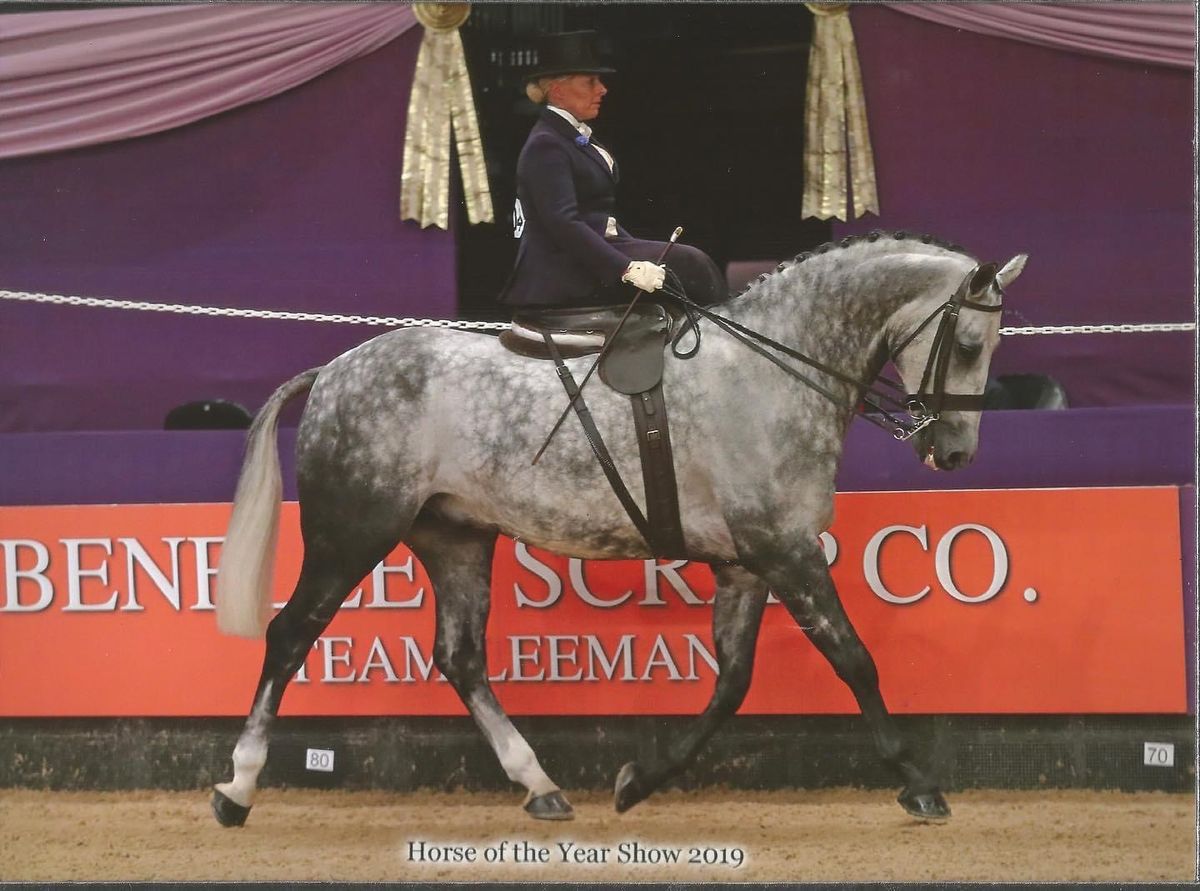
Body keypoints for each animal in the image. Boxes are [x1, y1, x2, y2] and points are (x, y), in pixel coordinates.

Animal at [211, 231, 1027, 830]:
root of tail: (333, 371)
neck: (772, 370)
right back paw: (236, 790)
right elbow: (854, 660)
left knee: (461, 657)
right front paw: (918, 783)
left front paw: (639, 781)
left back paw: (540, 786)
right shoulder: (785, 551)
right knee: (290, 635)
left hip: (456, 538)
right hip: (352, 532)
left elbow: (731, 685)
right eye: (967, 345)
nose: (955, 453)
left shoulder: (746, 564)